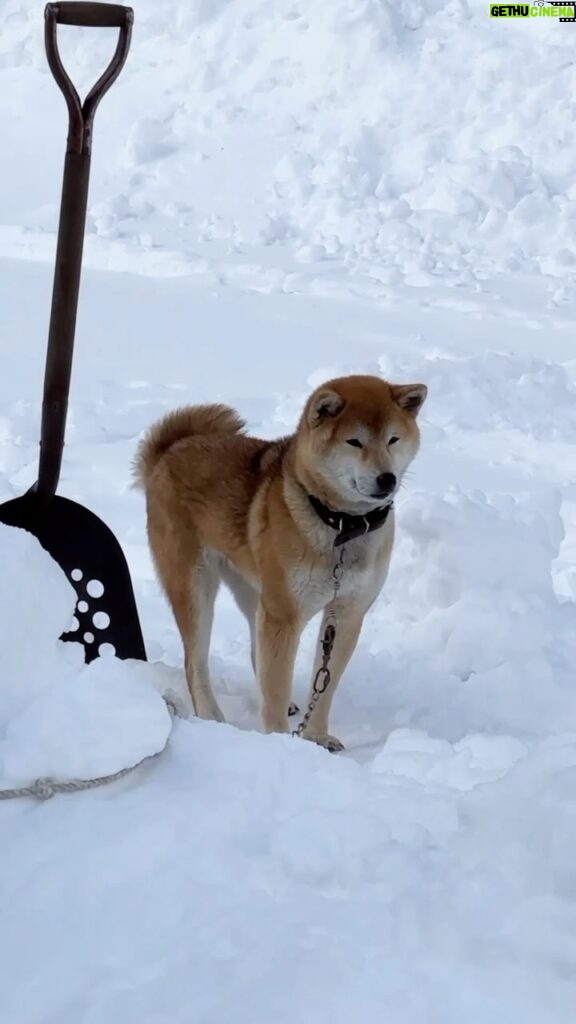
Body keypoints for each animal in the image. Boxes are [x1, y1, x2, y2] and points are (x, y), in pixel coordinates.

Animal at [133, 372, 422, 749]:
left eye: (393, 439)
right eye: (354, 442)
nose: (387, 478)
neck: (343, 527)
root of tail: (170, 449)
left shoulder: (346, 612)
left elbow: (324, 683)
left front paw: (316, 737)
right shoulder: (284, 614)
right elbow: (277, 683)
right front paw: (281, 745)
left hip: (254, 591)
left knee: (257, 654)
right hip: (195, 586)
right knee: (195, 661)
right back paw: (211, 715)